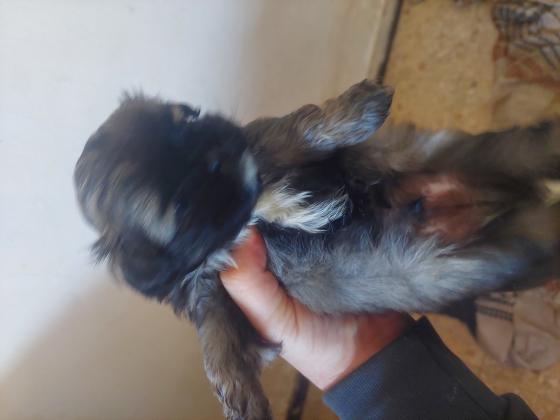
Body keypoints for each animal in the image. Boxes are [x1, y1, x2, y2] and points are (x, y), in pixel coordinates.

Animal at [74, 80, 560, 419]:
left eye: (188, 119)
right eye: (181, 205)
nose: (217, 149)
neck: (253, 210)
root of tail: (490, 199)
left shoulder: (264, 143)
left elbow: (298, 130)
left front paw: (358, 108)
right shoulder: (212, 288)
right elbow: (215, 336)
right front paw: (240, 397)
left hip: (432, 153)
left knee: (519, 149)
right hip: (464, 265)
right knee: (532, 234)